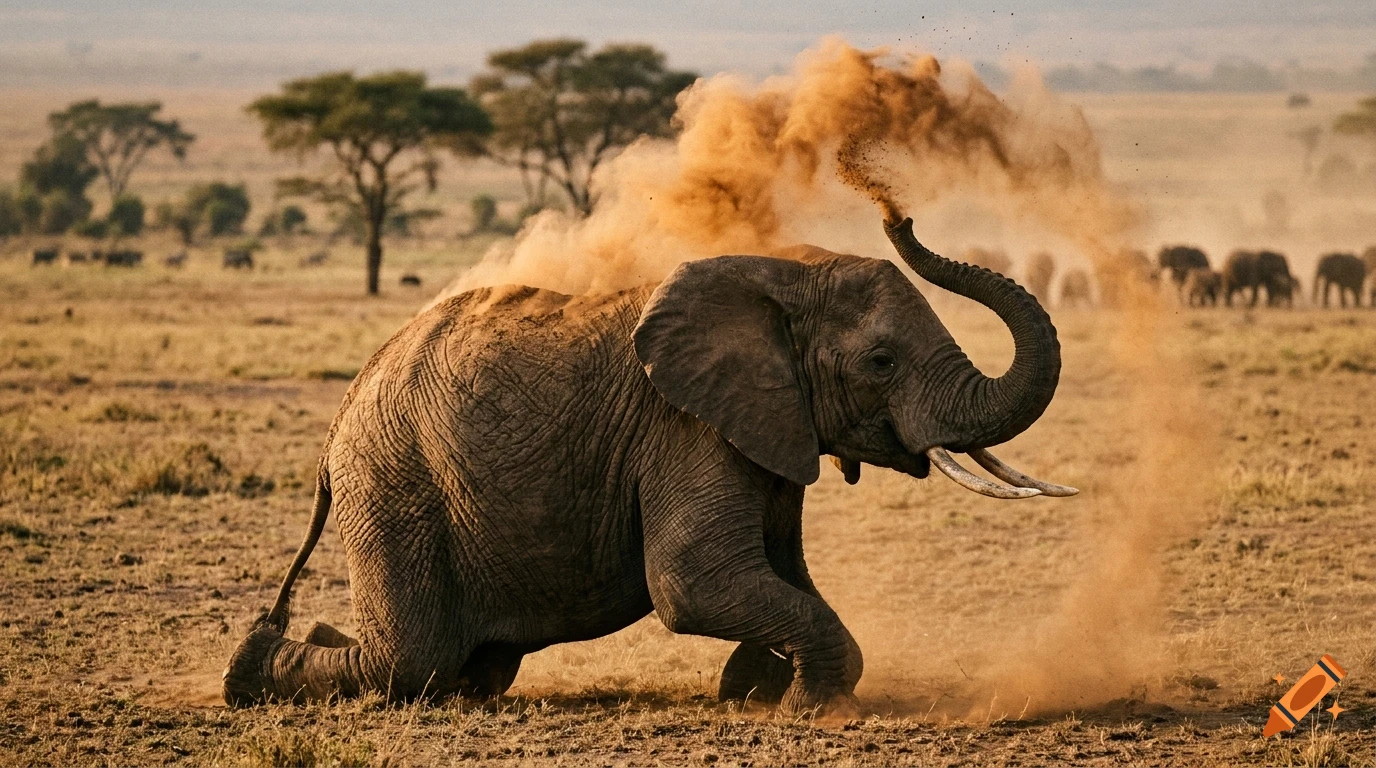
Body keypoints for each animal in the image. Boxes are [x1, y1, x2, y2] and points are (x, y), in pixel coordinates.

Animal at [221, 215, 1077, 714]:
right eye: (880, 361)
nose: (899, 216)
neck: (780, 272)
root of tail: (344, 409)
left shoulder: (767, 425)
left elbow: (783, 572)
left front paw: (749, 688)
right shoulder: (686, 427)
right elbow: (694, 582)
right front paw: (807, 705)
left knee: (469, 663)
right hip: (393, 479)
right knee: (412, 661)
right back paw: (244, 673)